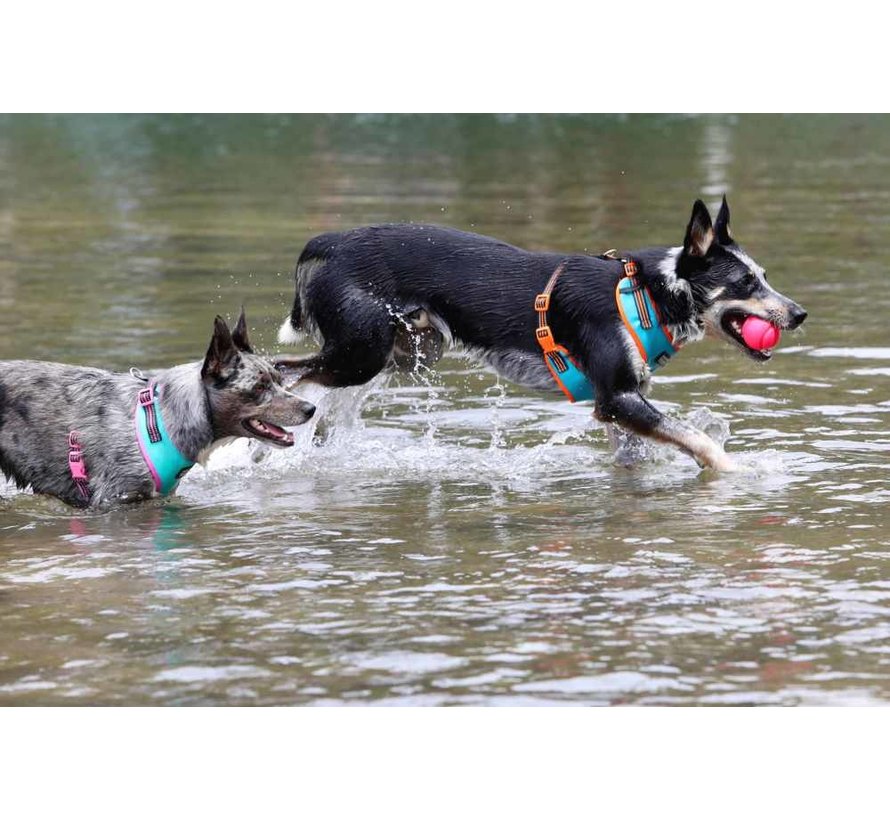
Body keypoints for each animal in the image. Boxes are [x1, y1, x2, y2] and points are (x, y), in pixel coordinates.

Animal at [276, 197, 804, 474]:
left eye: (764, 277)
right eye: (746, 284)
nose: (799, 314)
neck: (647, 292)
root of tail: (329, 242)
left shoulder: (622, 407)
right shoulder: (618, 400)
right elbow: (698, 440)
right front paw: (737, 472)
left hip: (401, 353)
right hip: (360, 353)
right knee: (288, 376)